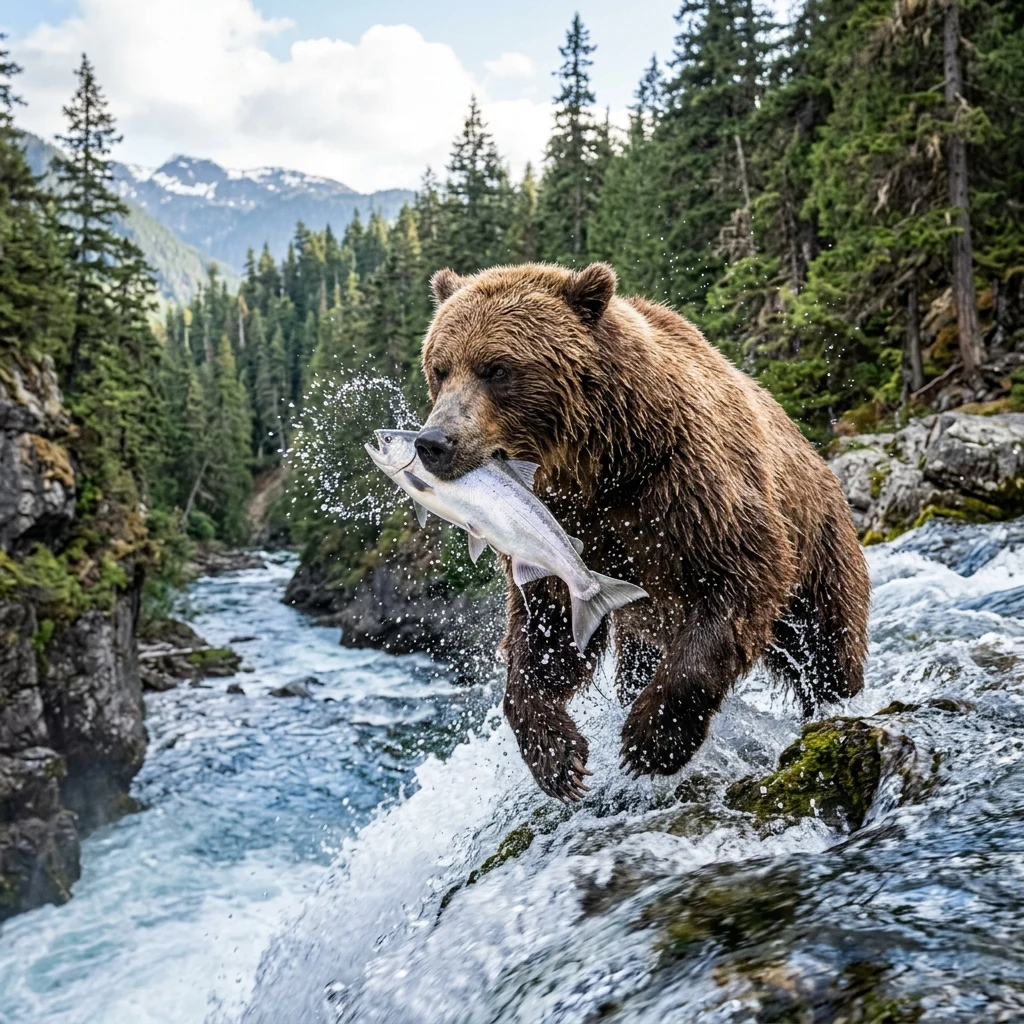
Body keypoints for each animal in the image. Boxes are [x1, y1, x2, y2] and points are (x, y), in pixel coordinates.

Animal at [414, 261, 871, 801]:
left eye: (497, 368)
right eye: (440, 368)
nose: (433, 442)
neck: (599, 466)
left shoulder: (685, 490)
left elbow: (741, 578)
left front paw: (651, 741)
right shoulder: (563, 530)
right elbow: (546, 632)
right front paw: (557, 754)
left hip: (820, 547)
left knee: (827, 645)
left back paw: (834, 705)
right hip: (644, 627)